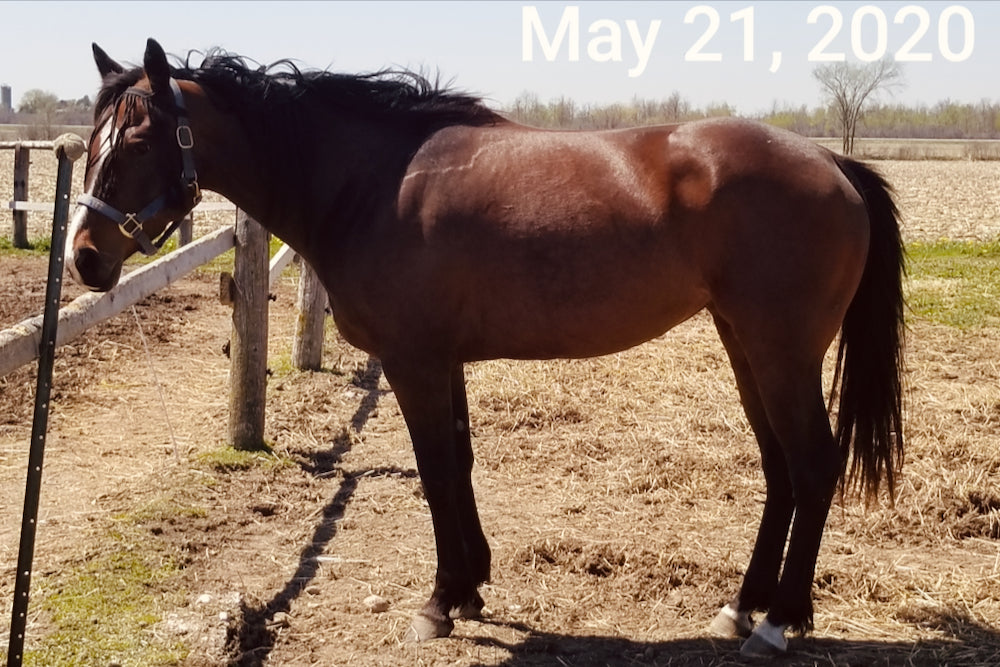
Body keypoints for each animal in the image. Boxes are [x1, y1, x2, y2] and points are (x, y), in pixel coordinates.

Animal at [66, 39, 905, 657]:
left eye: (137, 140)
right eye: (91, 142)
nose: (84, 258)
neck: (371, 183)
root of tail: (833, 163)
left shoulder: (414, 362)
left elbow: (437, 471)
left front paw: (439, 602)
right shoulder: (445, 362)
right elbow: (461, 464)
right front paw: (470, 587)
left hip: (781, 351)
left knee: (813, 465)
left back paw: (780, 621)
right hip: (745, 346)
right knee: (779, 470)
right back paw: (741, 607)